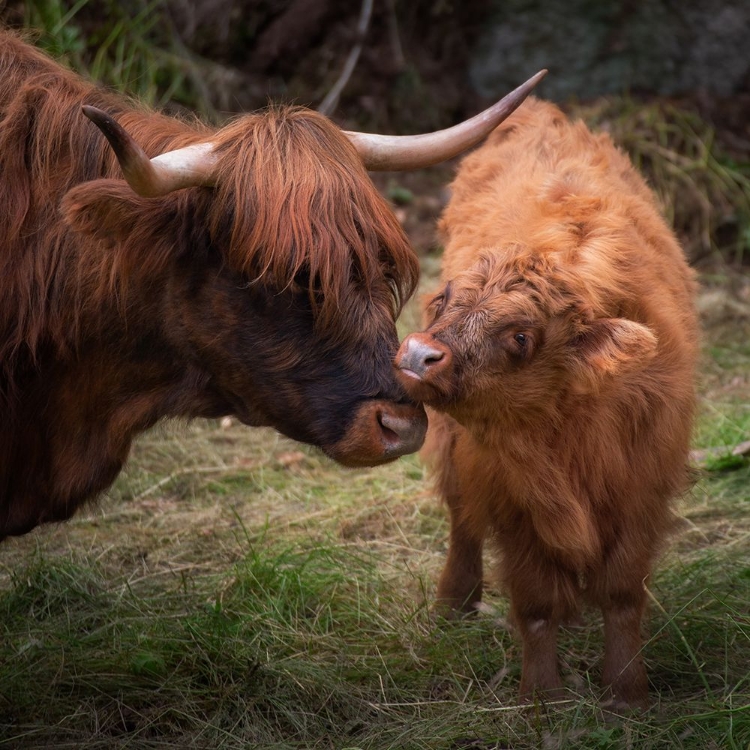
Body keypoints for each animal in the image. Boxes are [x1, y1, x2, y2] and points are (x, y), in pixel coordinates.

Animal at [396, 100, 704, 712]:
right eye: (444, 300)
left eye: (521, 337)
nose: (418, 354)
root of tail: (542, 112)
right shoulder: (510, 498)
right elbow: (536, 603)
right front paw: (544, 699)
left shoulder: (642, 491)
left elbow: (622, 594)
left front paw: (628, 693)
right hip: (452, 450)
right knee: (461, 518)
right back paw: (453, 604)